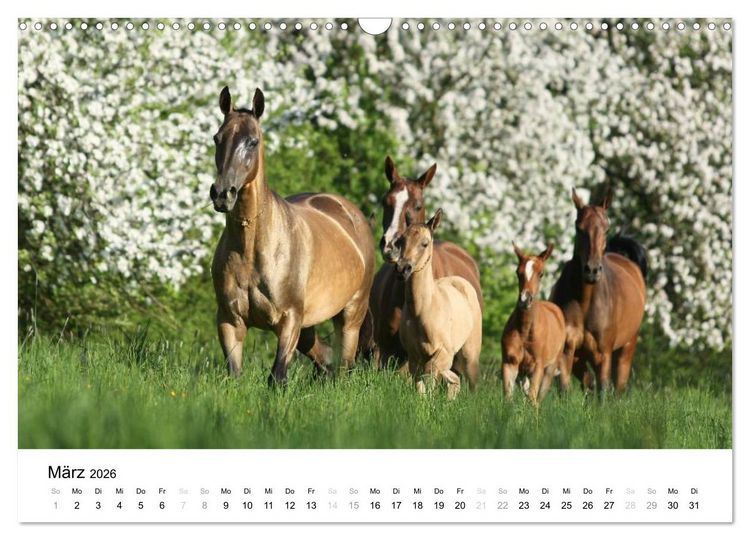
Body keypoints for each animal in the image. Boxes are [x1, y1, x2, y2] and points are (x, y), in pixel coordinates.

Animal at [209, 86, 375, 385]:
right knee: (325, 357)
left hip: (350, 315)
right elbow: (235, 374)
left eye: (253, 141)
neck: (251, 249)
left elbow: (277, 377)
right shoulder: (229, 320)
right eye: (218, 138)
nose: (222, 194)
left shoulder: (289, 320)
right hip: (310, 326)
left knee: (344, 366)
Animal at [395, 209, 482, 399]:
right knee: (454, 380)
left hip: (470, 355)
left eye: (425, 243)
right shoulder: (414, 356)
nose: (403, 268)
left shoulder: (442, 353)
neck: (423, 310)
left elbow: (430, 379)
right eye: (401, 241)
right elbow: (421, 386)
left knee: (470, 382)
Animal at [501, 243, 566, 406]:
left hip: (550, 369)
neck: (525, 331)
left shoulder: (538, 366)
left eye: (541, 274)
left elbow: (532, 398)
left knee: (538, 398)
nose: (525, 300)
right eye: (518, 272)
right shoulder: (509, 363)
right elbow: (508, 398)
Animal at [550, 188, 647, 395]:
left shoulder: (603, 354)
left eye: (606, 229)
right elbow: (567, 388)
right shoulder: (569, 352)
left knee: (618, 387)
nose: (592, 270)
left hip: (627, 348)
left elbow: (603, 391)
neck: (585, 301)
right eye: (579, 228)